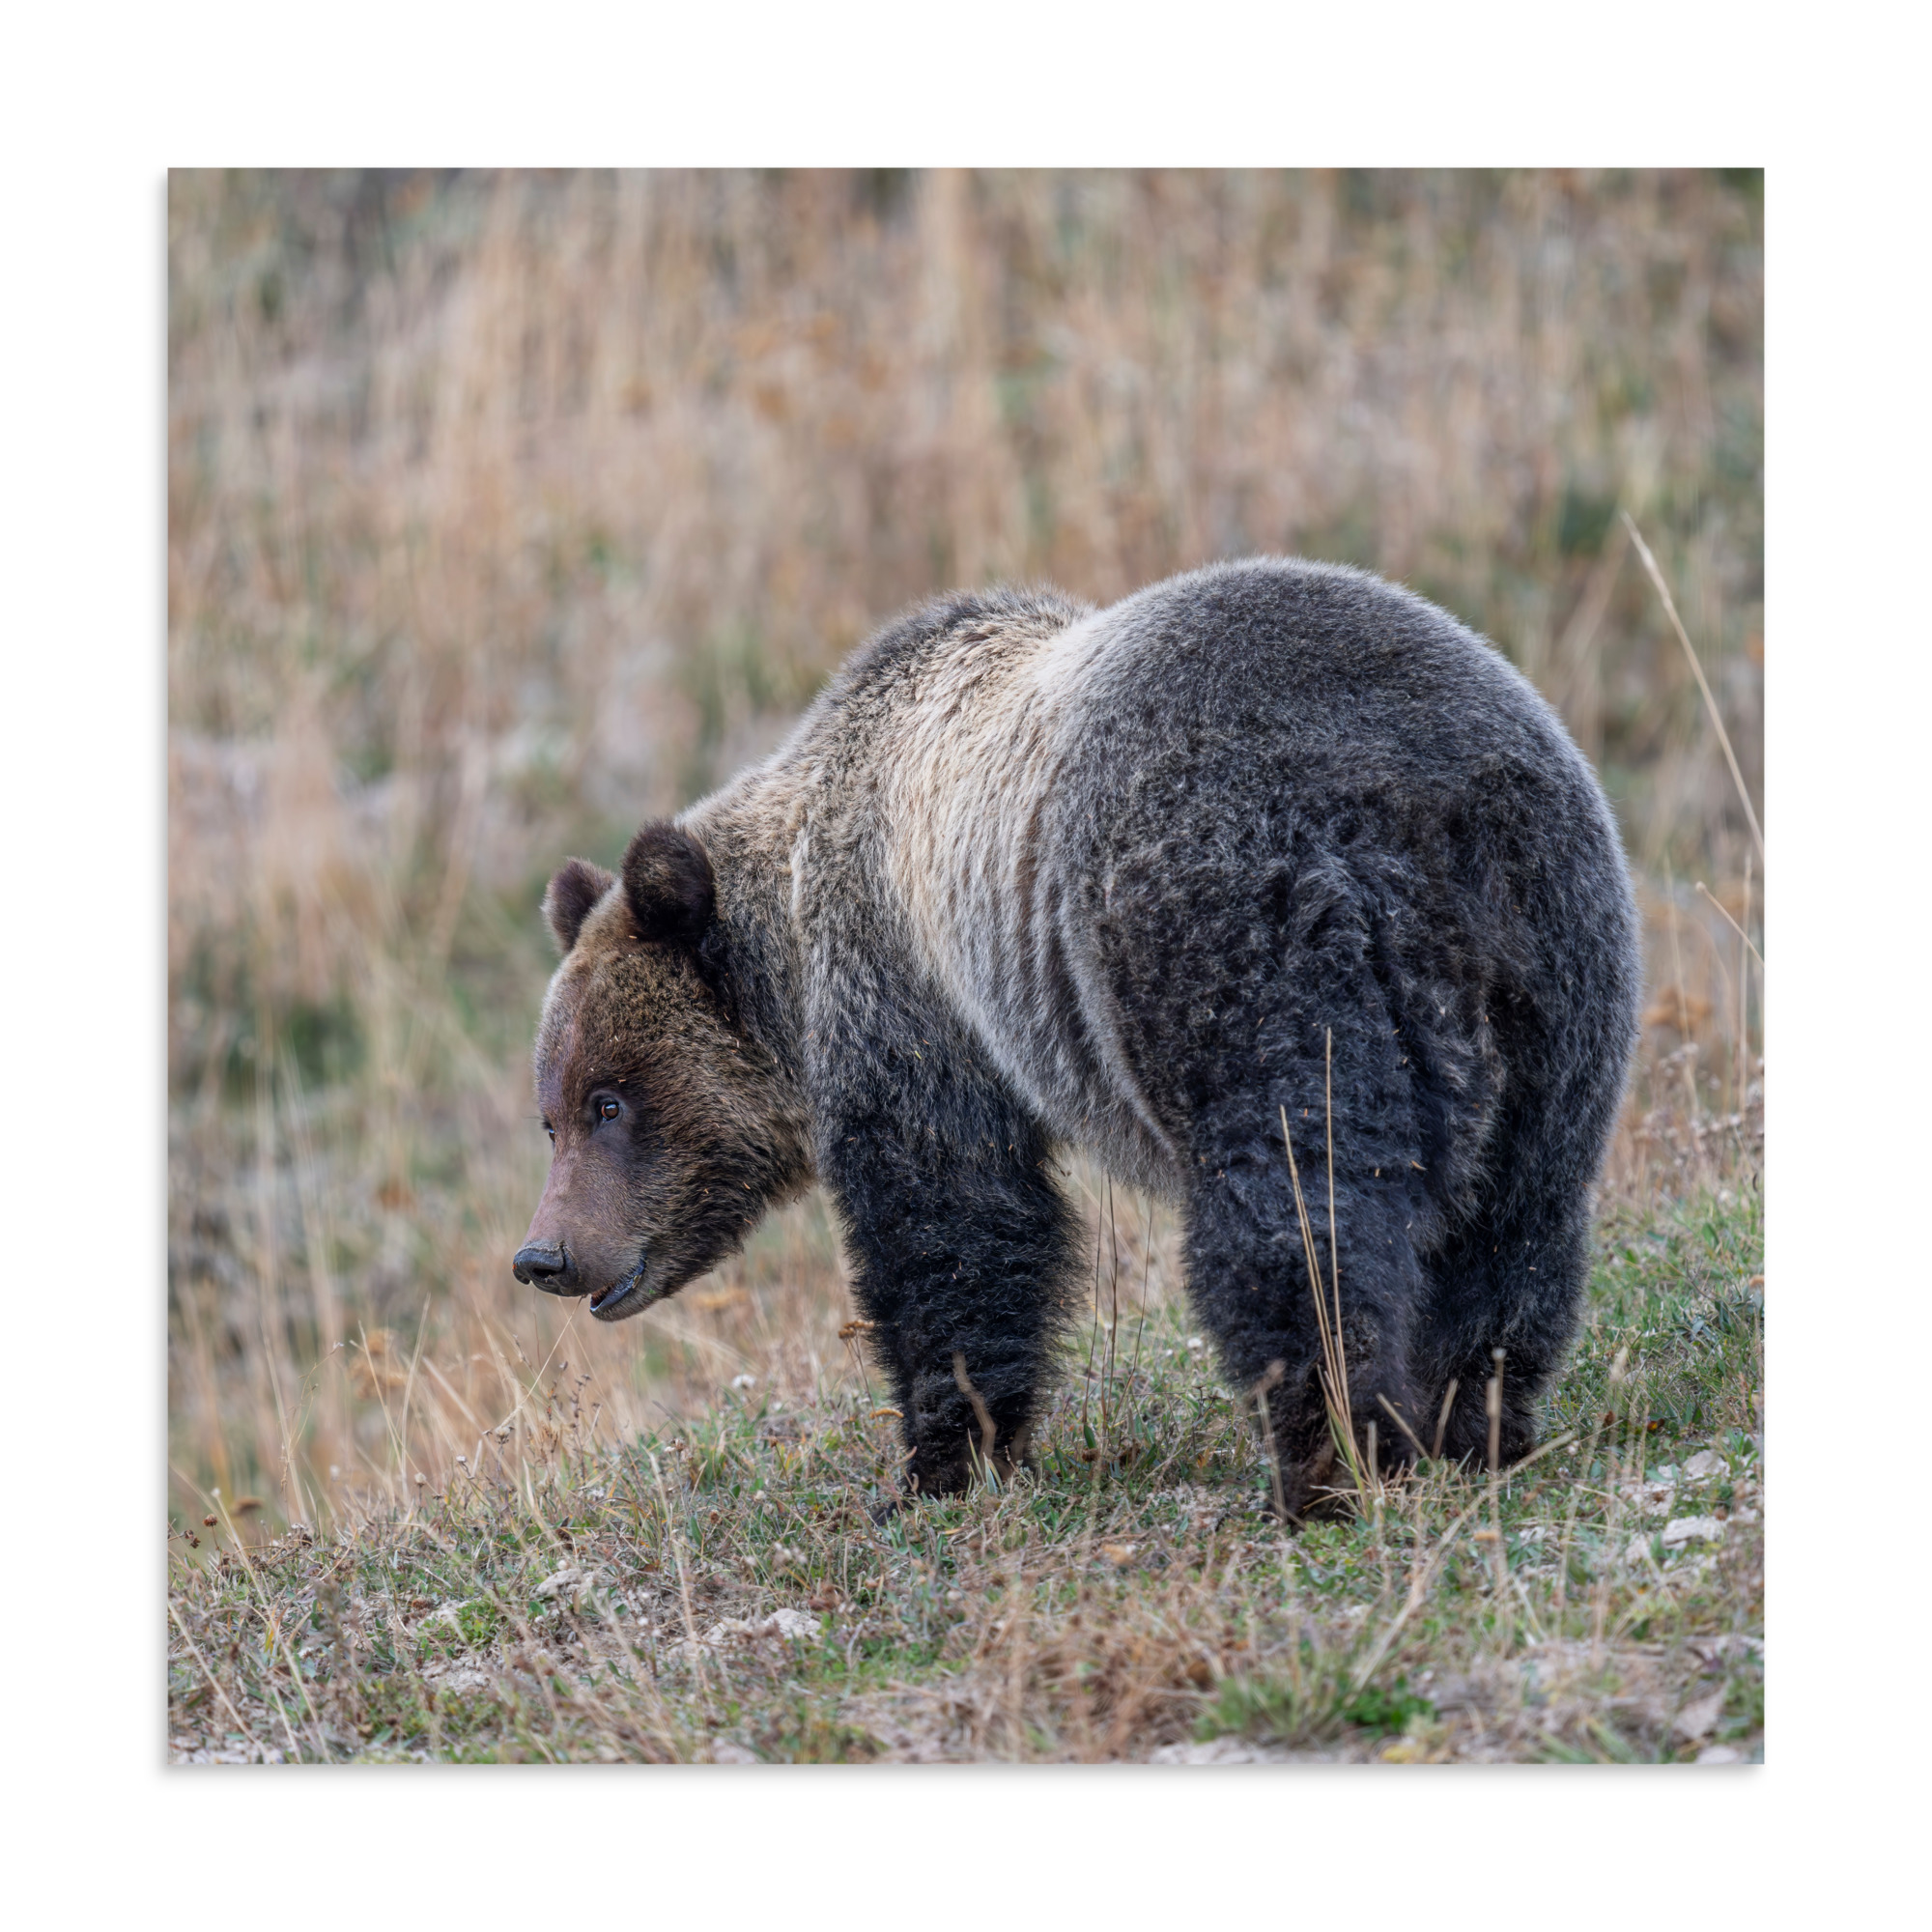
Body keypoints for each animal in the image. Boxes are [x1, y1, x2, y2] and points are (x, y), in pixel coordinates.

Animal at [513, 557, 1641, 1519]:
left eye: (609, 1100)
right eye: (551, 1113)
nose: (544, 1254)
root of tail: (1418, 805)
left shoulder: (912, 995)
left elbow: (953, 1222)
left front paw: (938, 1462)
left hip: (1236, 934)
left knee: (1297, 1208)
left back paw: (1326, 1460)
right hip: (1556, 965)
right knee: (1516, 1217)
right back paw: (1473, 1422)